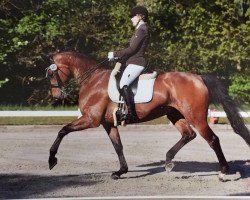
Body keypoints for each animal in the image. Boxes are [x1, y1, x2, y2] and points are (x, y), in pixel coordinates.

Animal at [46, 51, 249, 180]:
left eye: (51, 74)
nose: (56, 97)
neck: (92, 80)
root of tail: (198, 78)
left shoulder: (91, 119)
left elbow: (63, 130)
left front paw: (52, 160)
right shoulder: (107, 123)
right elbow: (118, 146)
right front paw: (121, 171)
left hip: (196, 117)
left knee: (212, 139)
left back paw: (224, 171)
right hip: (174, 114)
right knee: (188, 134)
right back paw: (168, 161)